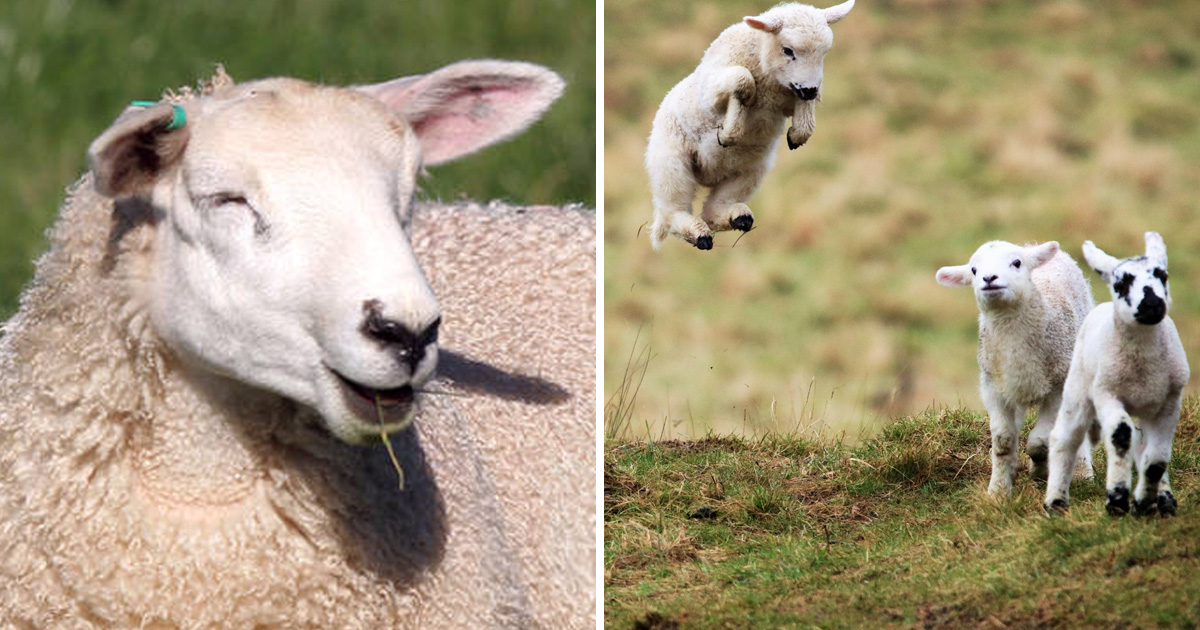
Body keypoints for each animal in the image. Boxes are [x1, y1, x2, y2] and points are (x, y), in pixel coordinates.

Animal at [643, 0, 859, 250]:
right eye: (788, 50)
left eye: (824, 53)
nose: (809, 89)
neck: (770, 82)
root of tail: (708, 176)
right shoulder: (713, 89)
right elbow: (743, 81)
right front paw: (728, 133)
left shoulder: (796, 94)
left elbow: (809, 101)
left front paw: (798, 135)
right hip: (671, 164)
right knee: (673, 211)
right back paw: (699, 234)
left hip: (750, 170)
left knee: (713, 210)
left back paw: (737, 217)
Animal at [936, 240, 1099, 496]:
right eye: (973, 270)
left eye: (1016, 263)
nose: (989, 278)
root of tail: (1032, 246)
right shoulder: (994, 388)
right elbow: (1002, 441)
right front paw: (999, 490)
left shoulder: (1057, 386)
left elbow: (1039, 442)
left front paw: (1039, 470)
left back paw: (1082, 473)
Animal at [1041, 231, 1190, 516]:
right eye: (1120, 284)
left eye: (1163, 276)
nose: (1152, 304)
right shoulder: (1107, 394)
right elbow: (1120, 435)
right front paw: (1118, 500)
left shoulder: (1170, 401)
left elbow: (1156, 458)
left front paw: (1144, 503)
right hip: (1078, 388)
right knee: (1065, 438)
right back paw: (1056, 501)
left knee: (1144, 446)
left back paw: (1163, 499)